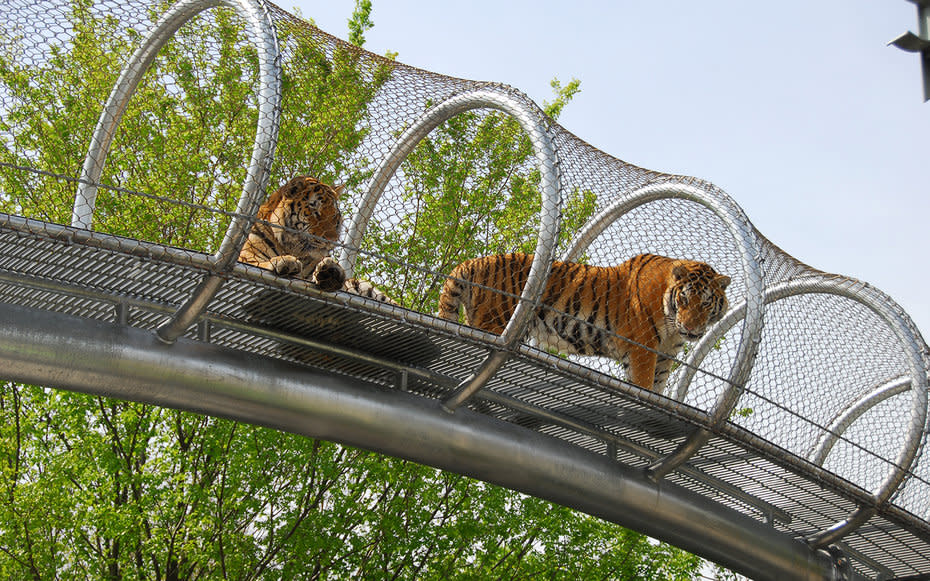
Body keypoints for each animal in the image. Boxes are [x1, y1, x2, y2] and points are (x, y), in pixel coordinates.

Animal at [236, 174, 396, 304]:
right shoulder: (246, 258)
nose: (332, 239)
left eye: (334, 215)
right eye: (314, 210)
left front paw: (331, 271)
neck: (292, 248)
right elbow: (260, 263)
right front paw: (285, 261)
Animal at [438, 251, 728, 392]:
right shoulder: (643, 349)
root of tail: (471, 263)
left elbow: (656, 390)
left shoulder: (665, 357)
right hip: (493, 323)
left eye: (705, 303)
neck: (672, 325)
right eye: (684, 299)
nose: (691, 328)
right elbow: (643, 385)